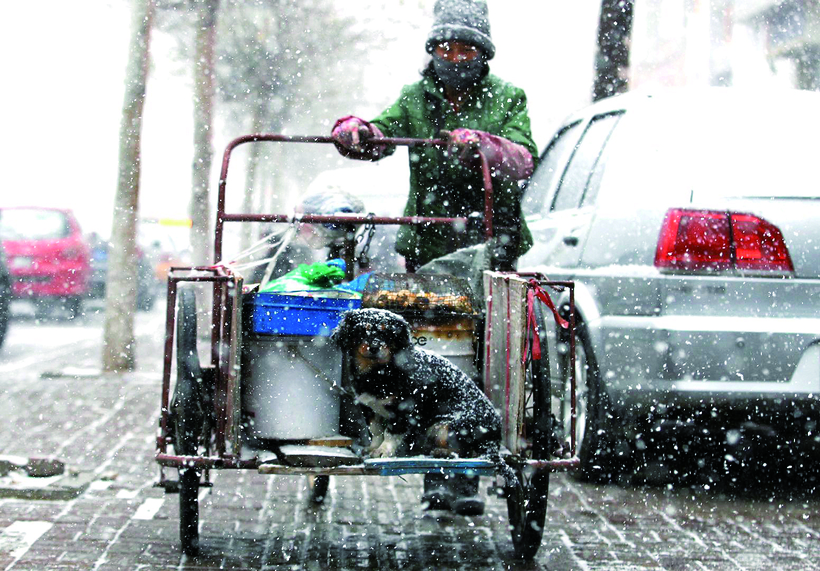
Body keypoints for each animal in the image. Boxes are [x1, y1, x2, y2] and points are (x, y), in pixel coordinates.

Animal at [332, 308, 500, 460]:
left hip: (444, 426)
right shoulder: (369, 407)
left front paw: (383, 451)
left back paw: (442, 452)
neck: (378, 371)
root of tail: (495, 439)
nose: (374, 347)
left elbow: (390, 432)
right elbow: (375, 430)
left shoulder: (403, 408)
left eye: (387, 333)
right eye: (362, 330)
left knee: (469, 452)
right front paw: (373, 447)